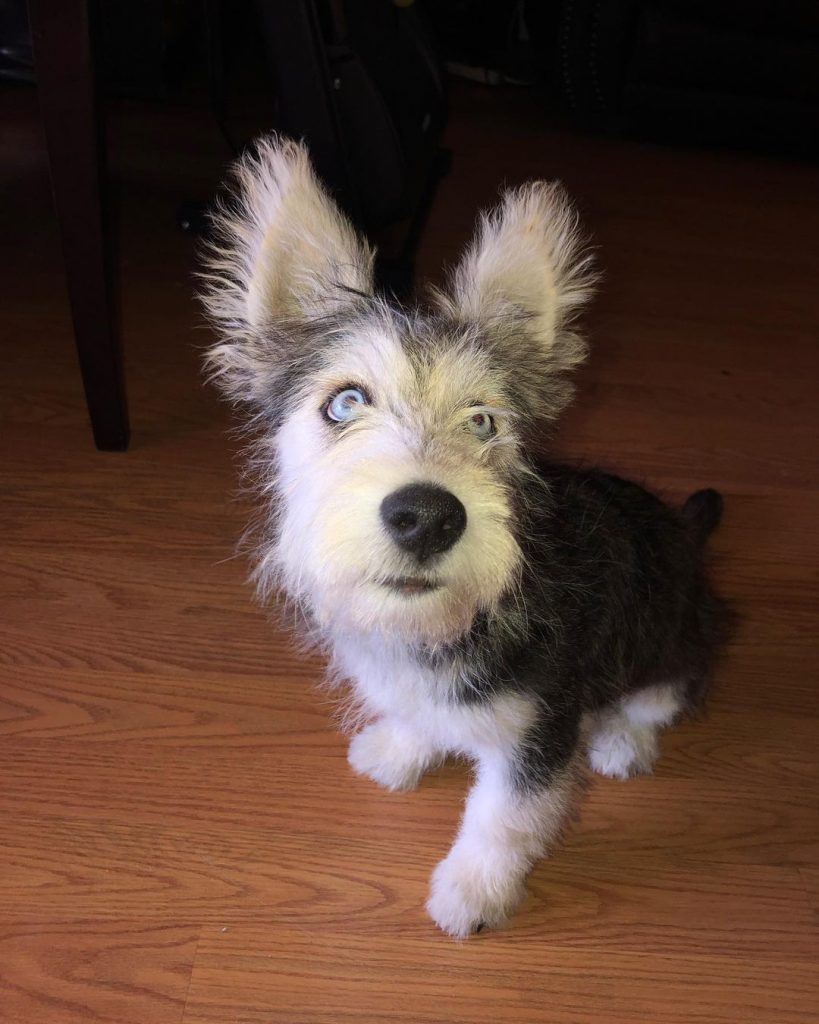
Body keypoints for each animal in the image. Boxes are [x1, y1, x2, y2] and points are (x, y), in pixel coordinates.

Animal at [201, 136, 724, 937]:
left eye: (482, 420)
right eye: (344, 402)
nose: (427, 516)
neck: (438, 625)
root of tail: (690, 538)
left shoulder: (537, 732)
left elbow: (503, 818)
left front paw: (472, 893)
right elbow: (420, 716)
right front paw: (399, 746)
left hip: (678, 635)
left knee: (663, 694)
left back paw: (623, 739)